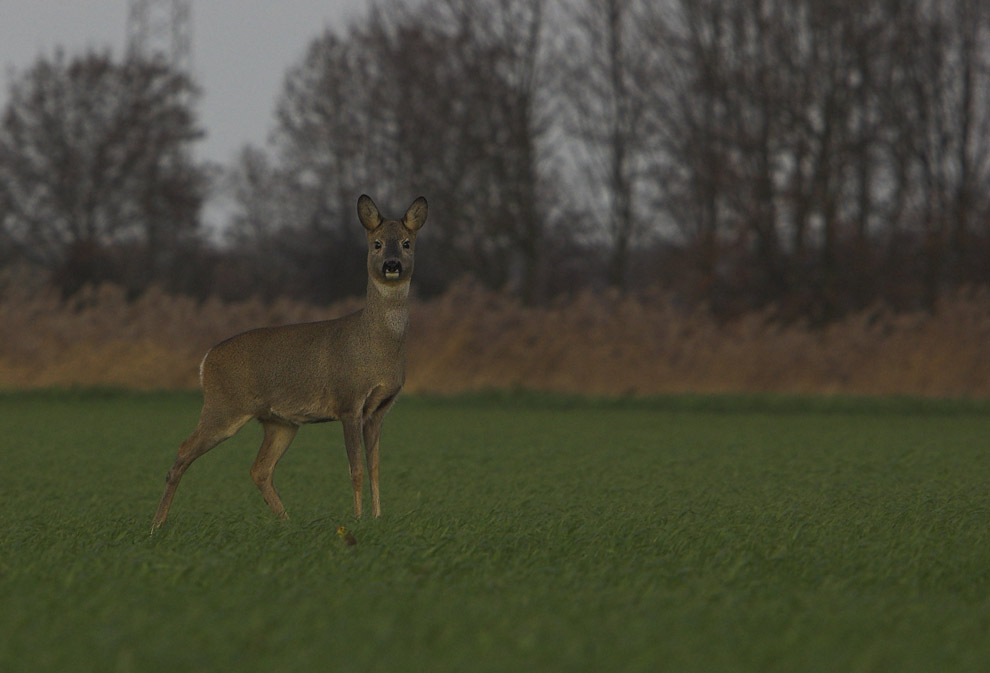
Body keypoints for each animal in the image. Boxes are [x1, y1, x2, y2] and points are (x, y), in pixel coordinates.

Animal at [149, 193, 428, 532]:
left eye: (406, 243)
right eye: (376, 244)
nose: (392, 265)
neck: (374, 347)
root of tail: (206, 360)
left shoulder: (379, 409)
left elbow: (375, 468)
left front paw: (377, 518)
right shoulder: (348, 401)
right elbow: (356, 468)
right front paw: (358, 519)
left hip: (279, 422)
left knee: (259, 469)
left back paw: (287, 522)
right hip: (223, 407)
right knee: (183, 450)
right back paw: (157, 524)